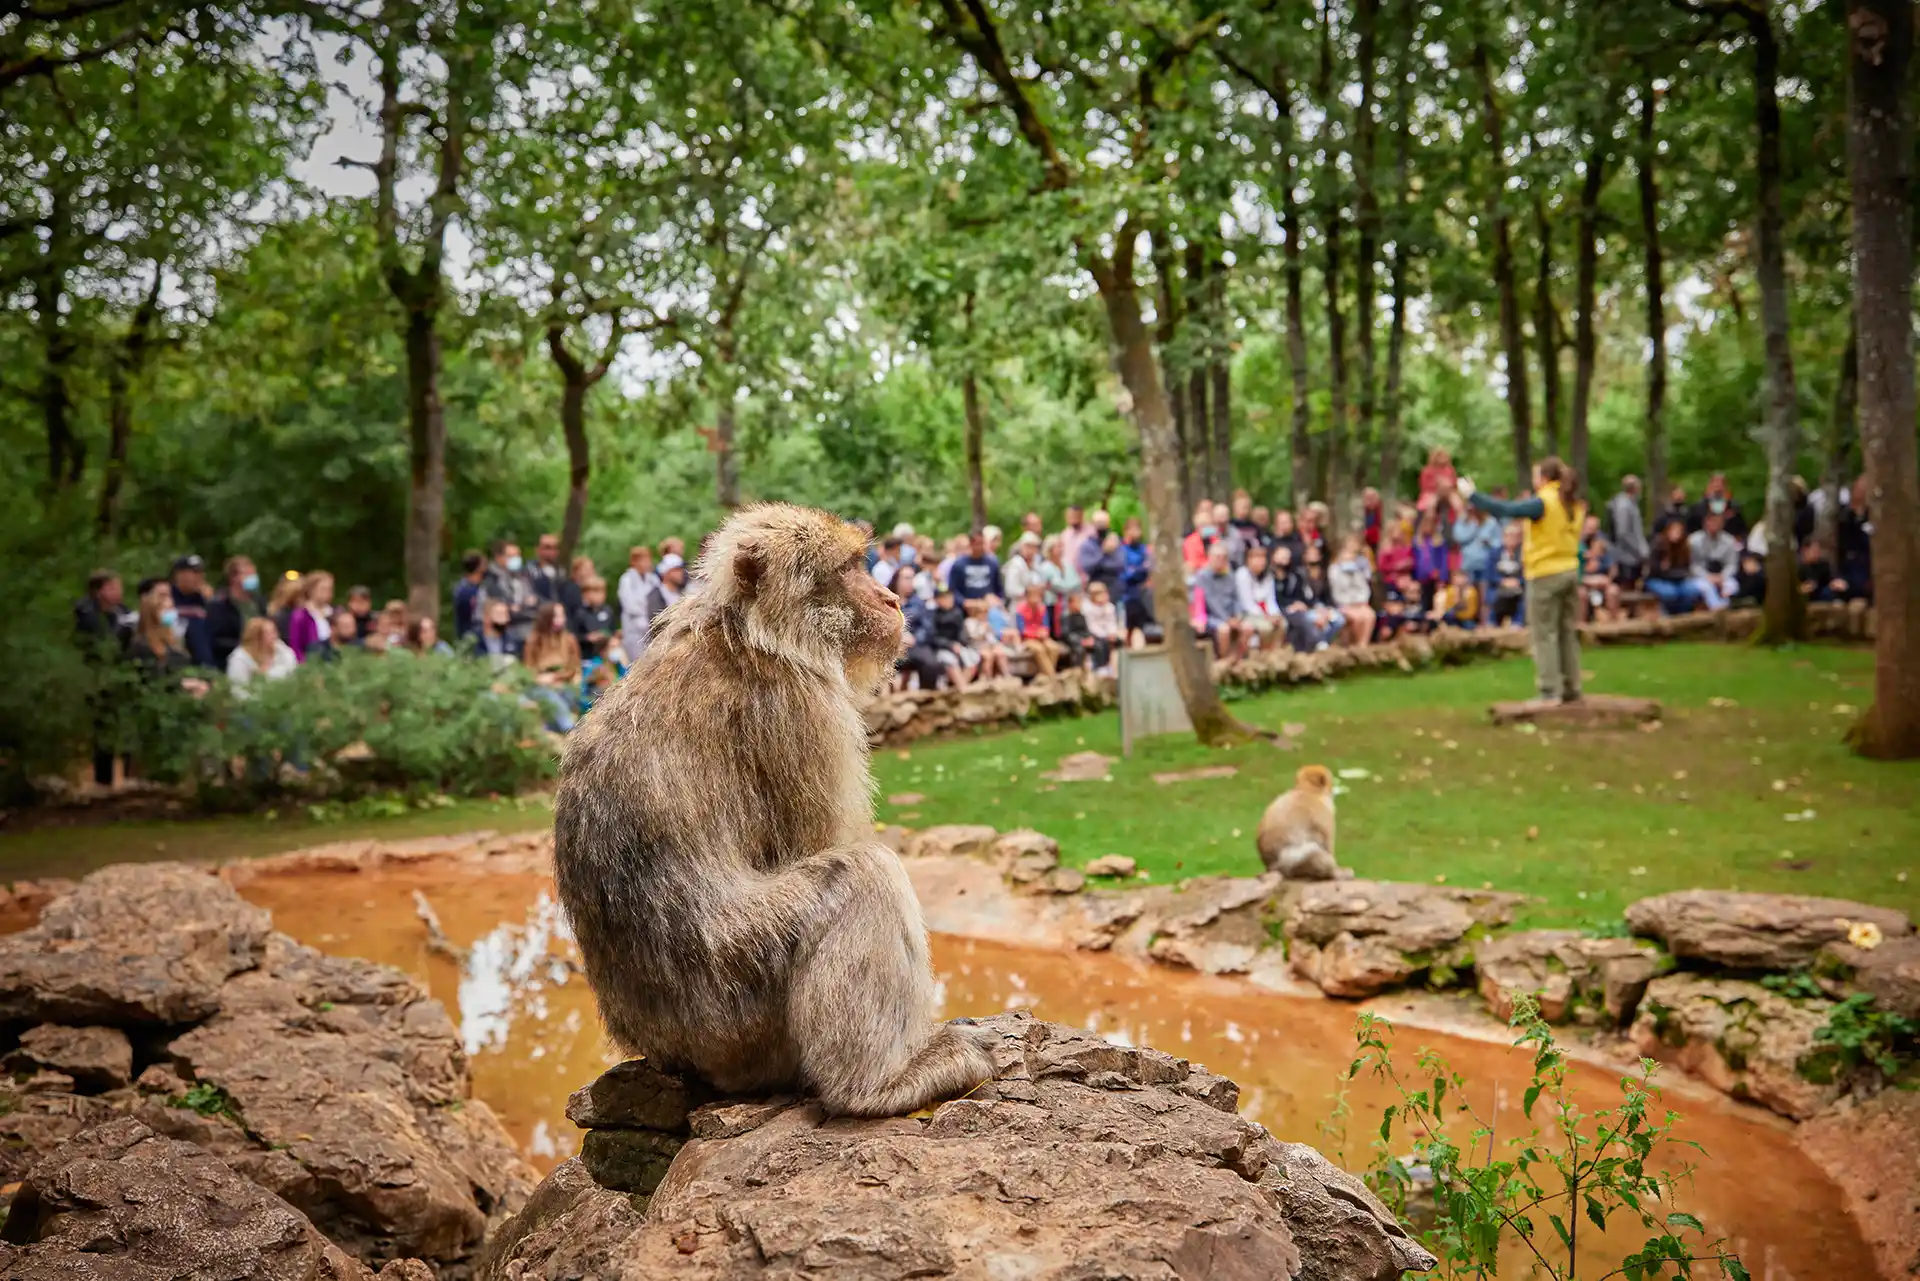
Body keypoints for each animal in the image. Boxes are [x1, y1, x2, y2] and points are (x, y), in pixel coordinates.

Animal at [552, 507, 990, 1113]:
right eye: (847, 570)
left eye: (862, 563)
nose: (892, 597)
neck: (749, 632)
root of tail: (671, 1052)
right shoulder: (801, 706)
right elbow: (826, 845)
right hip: (739, 1004)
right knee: (865, 874)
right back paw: (873, 1085)